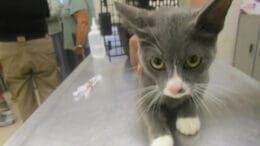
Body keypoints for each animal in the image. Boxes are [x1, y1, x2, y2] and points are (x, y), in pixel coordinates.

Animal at [115, 0, 233, 145]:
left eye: (193, 60)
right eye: (157, 62)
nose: (175, 88)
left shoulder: (203, 78)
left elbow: (195, 95)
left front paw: (188, 120)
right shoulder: (144, 84)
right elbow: (149, 112)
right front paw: (161, 139)